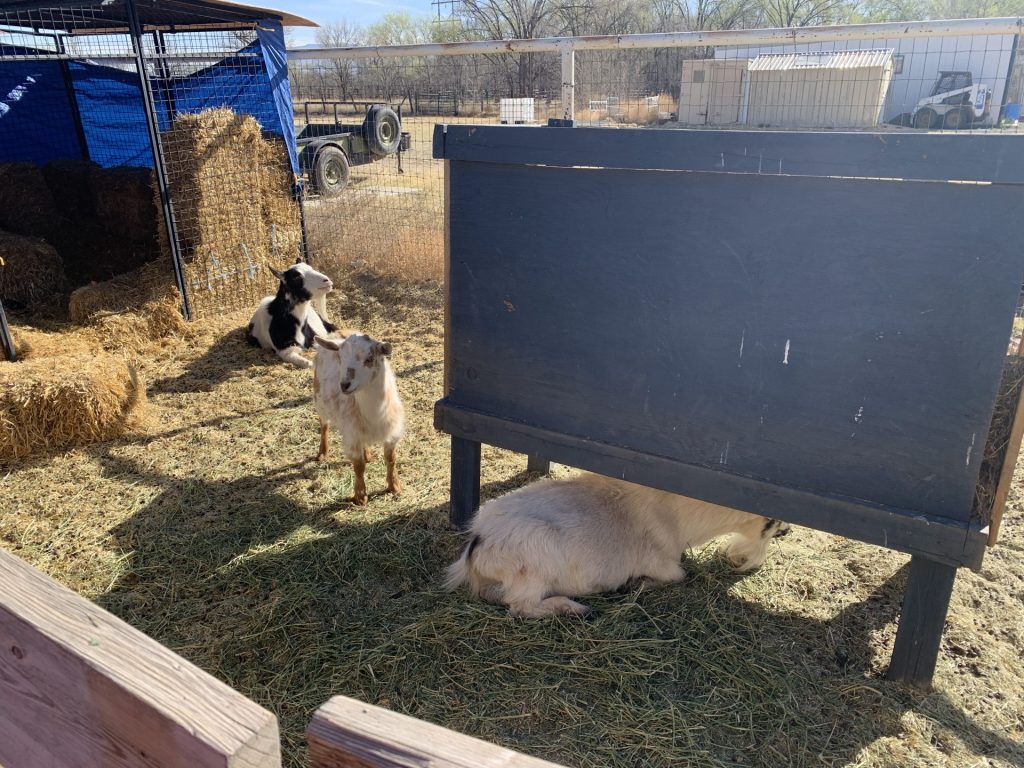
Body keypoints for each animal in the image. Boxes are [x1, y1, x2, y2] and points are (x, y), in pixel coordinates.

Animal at [313, 332, 405, 505]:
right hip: (319, 399)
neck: (374, 414)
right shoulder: (351, 436)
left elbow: (391, 459)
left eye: (369, 358)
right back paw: (322, 453)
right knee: (324, 425)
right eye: (340, 357)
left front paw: (395, 487)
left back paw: (368, 454)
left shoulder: (392, 431)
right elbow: (358, 466)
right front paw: (360, 496)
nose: (344, 385)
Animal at [445, 472, 790, 618]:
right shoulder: (662, 561)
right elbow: (679, 575)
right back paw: (575, 608)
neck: (676, 513)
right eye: (771, 521)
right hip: (534, 565)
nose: (786, 530)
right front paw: (636, 584)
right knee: (520, 607)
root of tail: (478, 542)